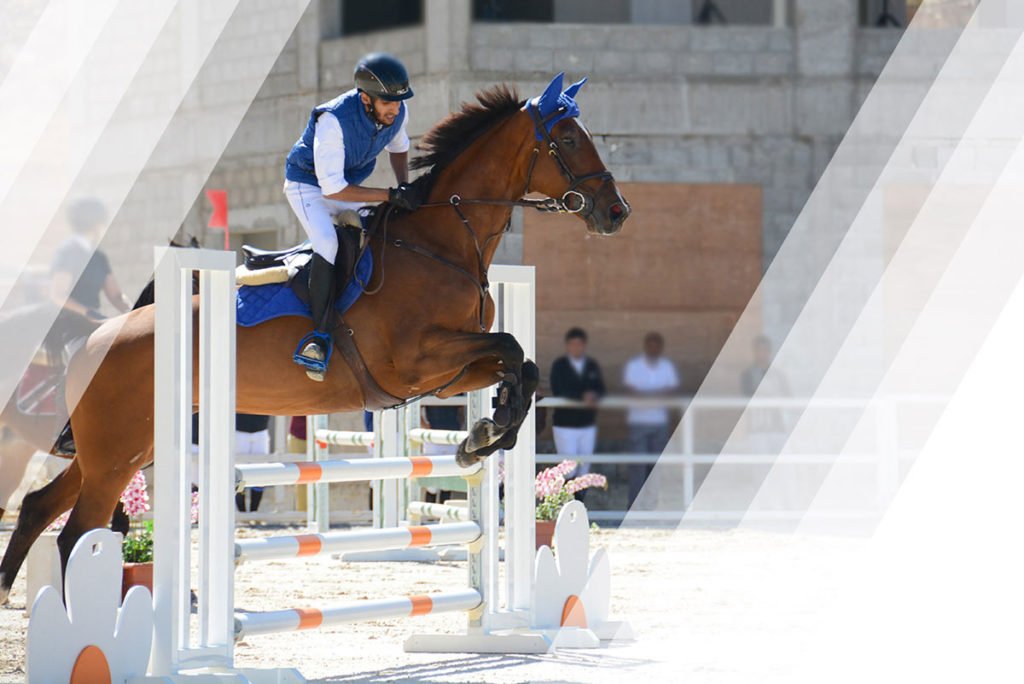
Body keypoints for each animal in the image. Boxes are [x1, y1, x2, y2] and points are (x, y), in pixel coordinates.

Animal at [0, 73, 629, 604]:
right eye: (568, 140)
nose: (616, 212)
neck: (440, 244)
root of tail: (93, 337)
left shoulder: (449, 371)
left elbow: (521, 364)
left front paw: (484, 434)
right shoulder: (416, 361)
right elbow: (511, 349)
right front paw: (485, 434)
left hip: (127, 446)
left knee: (38, 507)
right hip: (116, 451)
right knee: (76, 532)